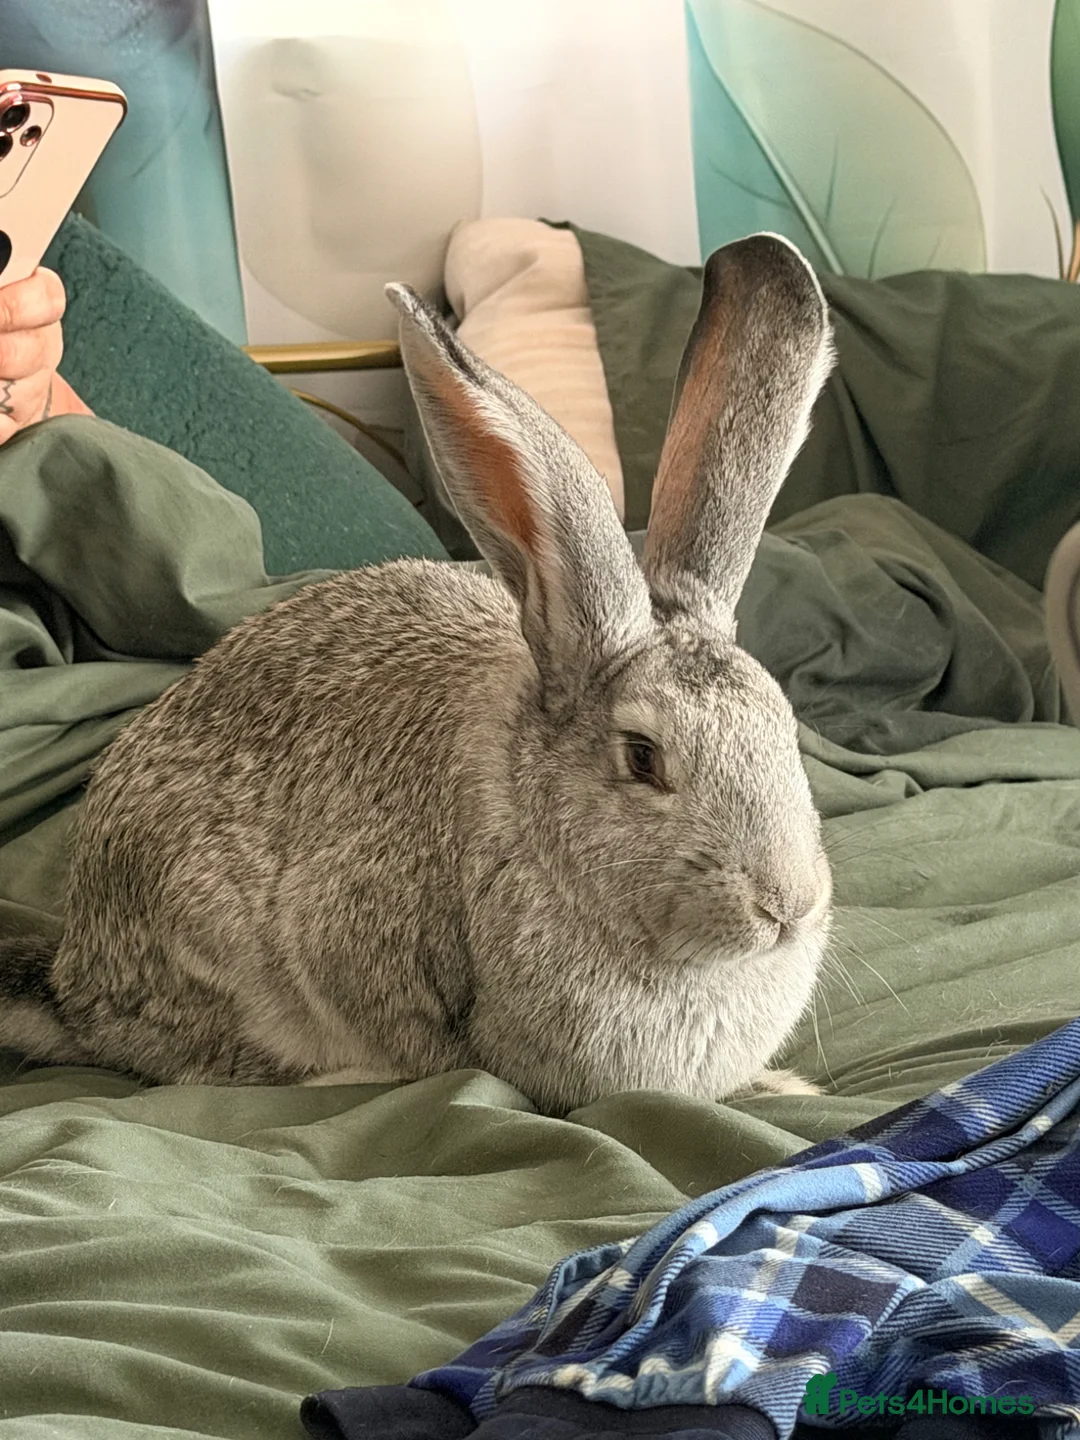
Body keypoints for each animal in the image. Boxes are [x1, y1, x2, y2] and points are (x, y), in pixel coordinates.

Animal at [0, 233, 835, 1116]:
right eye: (643, 758)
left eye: (786, 731)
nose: (788, 906)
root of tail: (73, 976)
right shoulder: (347, 937)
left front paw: (780, 1085)